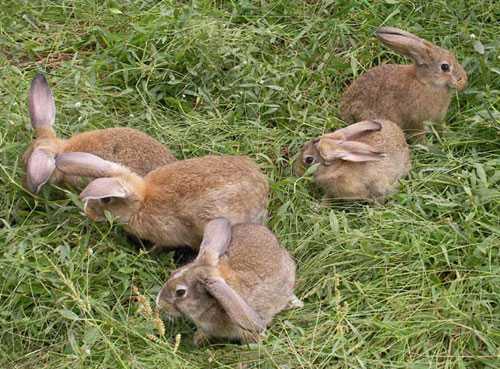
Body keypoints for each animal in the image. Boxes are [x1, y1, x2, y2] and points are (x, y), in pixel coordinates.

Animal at [340, 26, 468, 141]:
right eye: (445, 67)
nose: (463, 81)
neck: (426, 82)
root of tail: (343, 109)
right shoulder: (417, 121)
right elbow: (419, 135)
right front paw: (426, 144)